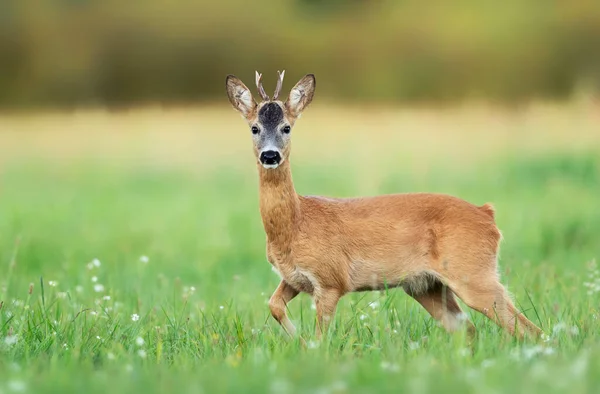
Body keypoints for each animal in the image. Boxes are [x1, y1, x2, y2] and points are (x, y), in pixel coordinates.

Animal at [225, 71, 544, 342]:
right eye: (254, 128)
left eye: (286, 127)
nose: (270, 155)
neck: (296, 224)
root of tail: (487, 214)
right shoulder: (293, 278)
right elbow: (273, 305)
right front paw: (296, 338)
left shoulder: (331, 279)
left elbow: (321, 337)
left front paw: (306, 344)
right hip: (426, 286)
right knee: (469, 330)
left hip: (473, 272)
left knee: (528, 329)